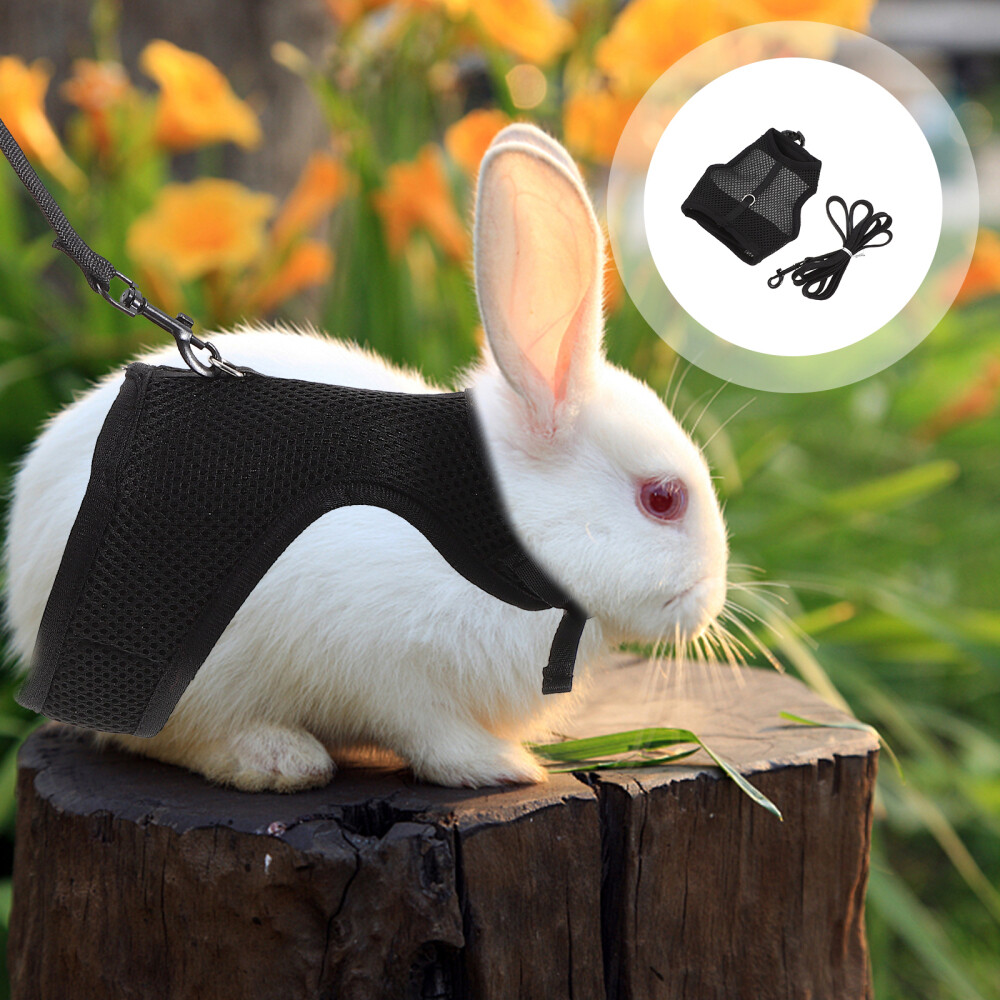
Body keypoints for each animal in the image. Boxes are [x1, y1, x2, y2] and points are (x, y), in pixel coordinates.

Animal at [2, 124, 729, 792]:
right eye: (663, 499)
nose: (710, 604)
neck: (502, 526)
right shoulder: (394, 671)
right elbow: (430, 734)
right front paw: (503, 767)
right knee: (162, 735)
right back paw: (280, 759)